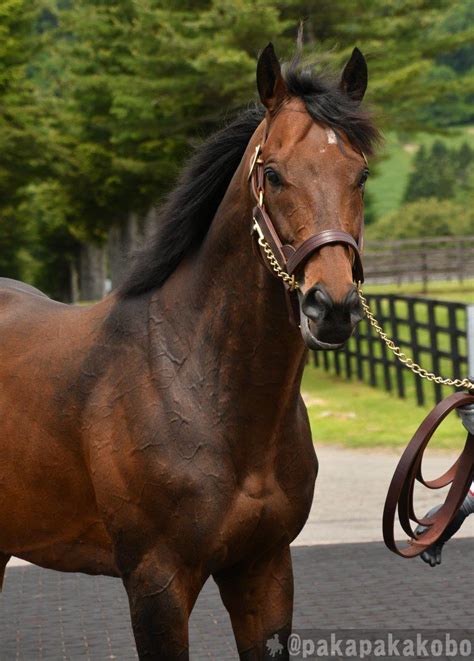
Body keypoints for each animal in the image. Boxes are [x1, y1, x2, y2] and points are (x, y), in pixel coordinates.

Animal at [0, 43, 378, 656]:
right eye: (273, 174)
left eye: (361, 174)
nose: (333, 306)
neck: (199, 384)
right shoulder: (157, 583)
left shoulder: (265, 570)